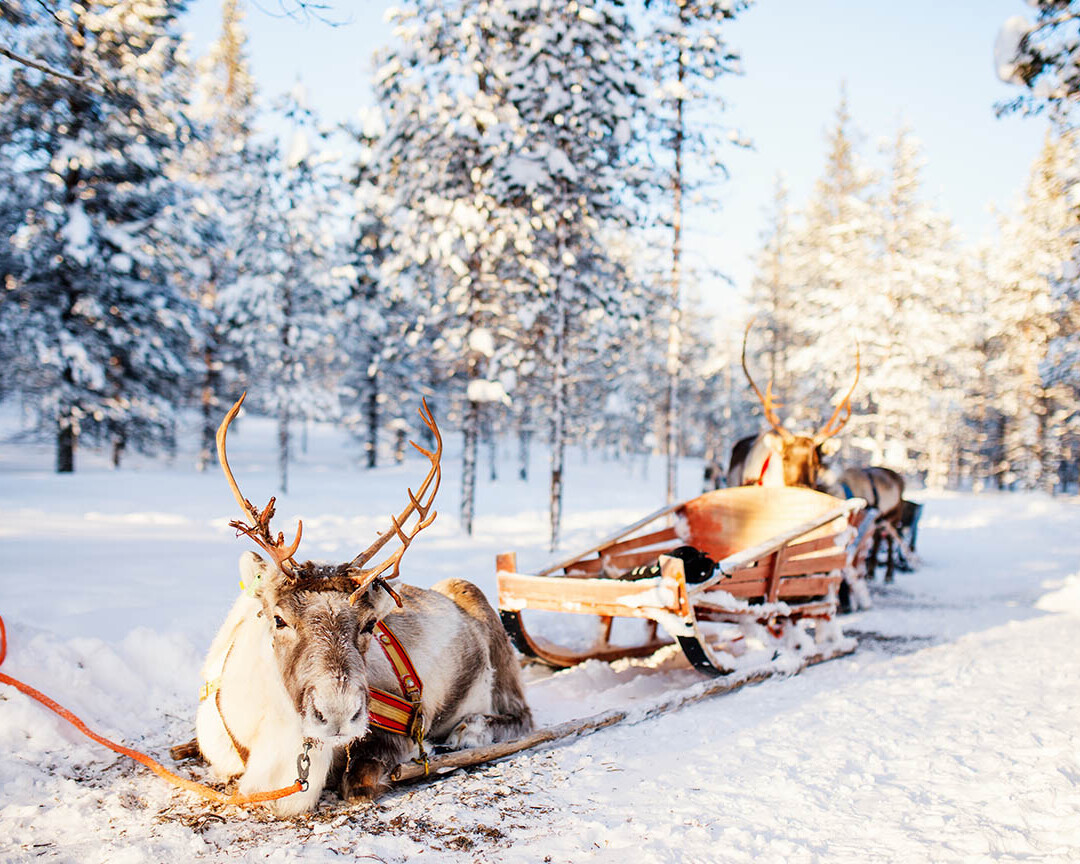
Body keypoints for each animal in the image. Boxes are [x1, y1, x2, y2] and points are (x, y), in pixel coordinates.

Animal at [194, 395, 533, 815]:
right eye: (279, 619)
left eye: (370, 623)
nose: (337, 711)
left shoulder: (395, 733)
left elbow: (357, 780)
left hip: (484, 624)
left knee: (522, 715)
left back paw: (468, 732)